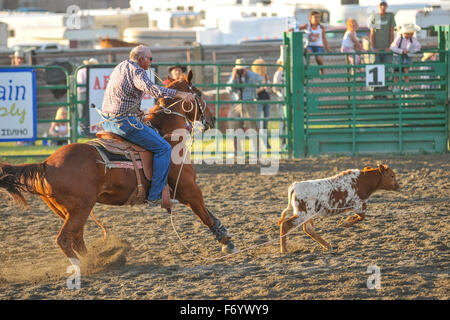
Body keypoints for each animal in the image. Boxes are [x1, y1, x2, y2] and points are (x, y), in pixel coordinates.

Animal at [0, 70, 237, 268]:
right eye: (199, 94)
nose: (212, 118)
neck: (166, 136)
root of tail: (46, 165)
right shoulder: (188, 189)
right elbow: (205, 215)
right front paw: (226, 241)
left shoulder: (185, 192)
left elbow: (208, 213)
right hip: (80, 208)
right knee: (65, 239)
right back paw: (86, 266)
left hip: (70, 210)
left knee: (77, 239)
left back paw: (100, 259)